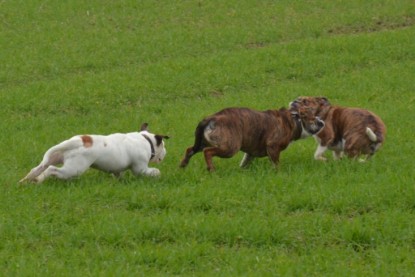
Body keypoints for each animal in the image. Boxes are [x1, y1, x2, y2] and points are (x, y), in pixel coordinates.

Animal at [19, 123, 169, 183]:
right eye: (163, 145)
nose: (165, 152)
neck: (145, 139)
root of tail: (78, 141)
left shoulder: (117, 169)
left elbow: (117, 173)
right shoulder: (140, 168)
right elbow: (151, 171)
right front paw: (156, 174)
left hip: (54, 157)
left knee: (38, 168)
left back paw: (28, 180)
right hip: (73, 169)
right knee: (51, 169)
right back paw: (38, 180)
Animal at [180, 105, 326, 170]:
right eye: (313, 118)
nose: (322, 122)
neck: (294, 121)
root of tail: (211, 118)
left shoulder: (250, 153)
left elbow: (245, 162)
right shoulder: (273, 147)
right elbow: (276, 163)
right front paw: (278, 172)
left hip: (203, 143)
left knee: (190, 150)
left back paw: (183, 165)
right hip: (229, 148)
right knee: (208, 152)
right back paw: (211, 169)